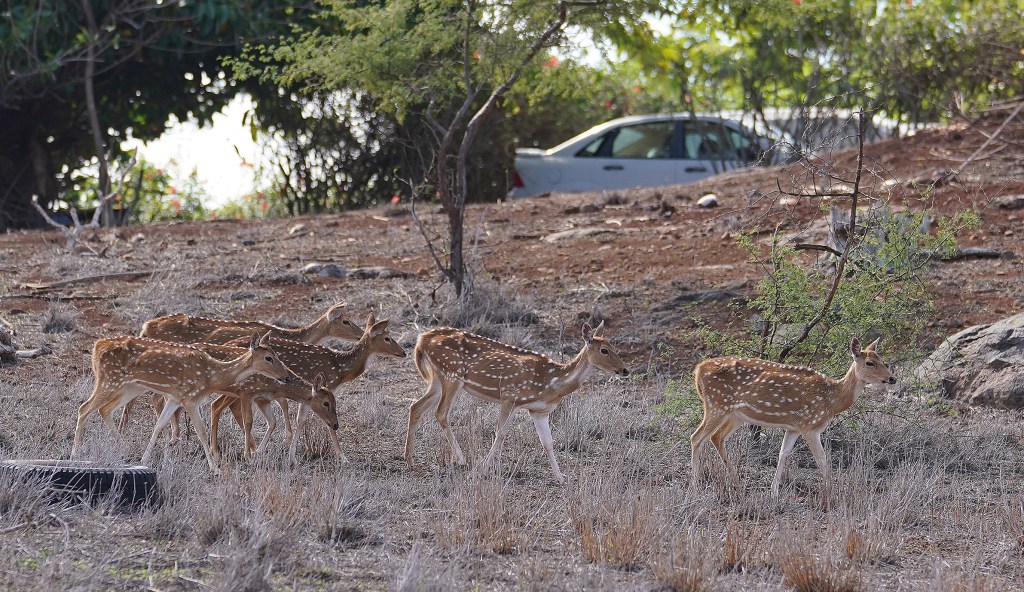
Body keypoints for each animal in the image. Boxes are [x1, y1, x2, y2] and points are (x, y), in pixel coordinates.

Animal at [72, 332, 290, 471]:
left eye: (277, 355)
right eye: (269, 357)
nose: (286, 377)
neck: (211, 377)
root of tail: (97, 346)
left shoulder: (175, 398)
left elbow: (159, 425)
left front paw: (144, 459)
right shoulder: (190, 398)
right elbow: (201, 431)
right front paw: (215, 468)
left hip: (130, 387)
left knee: (104, 410)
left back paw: (124, 448)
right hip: (110, 380)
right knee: (84, 408)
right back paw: (74, 455)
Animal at [404, 322, 629, 484]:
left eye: (614, 347)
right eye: (604, 350)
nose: (625, 370)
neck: (551, 383)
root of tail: (422, 339)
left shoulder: (539, 411)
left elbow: (548, 443)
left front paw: (561, 478)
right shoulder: (510, 397)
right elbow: (500, 433)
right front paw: (482, 470)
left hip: (437, 378)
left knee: (415, 406)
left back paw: (409, 460)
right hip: (452, 374)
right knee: (441, 413)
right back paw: (462, 459)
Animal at [689, 337, 896, 502]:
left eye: (883, 360)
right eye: (869, 363)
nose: (892, 378)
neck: (832, 400)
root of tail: (698, 370)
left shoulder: (794, 427)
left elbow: (783, 453)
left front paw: (774, 492)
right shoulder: (809, 425)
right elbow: (821, 458)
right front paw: (832, 493)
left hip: (735, 415)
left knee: (716, 437)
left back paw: (737, 484)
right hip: (717, 405)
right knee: (696, 437)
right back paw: (696, 484)